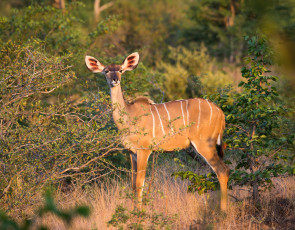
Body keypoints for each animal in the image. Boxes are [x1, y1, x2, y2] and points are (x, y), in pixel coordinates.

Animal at [85, 52, 231, 210]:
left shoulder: (144, 150)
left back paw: (223, 211)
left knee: (222, 170)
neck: (128, 116)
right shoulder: (131, 152)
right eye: (106, 71)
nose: (115, 80)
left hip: (204, 143)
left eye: (121, 70)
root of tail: (220, 112)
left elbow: (139, 183)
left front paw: (139, 213)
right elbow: (132, 184)